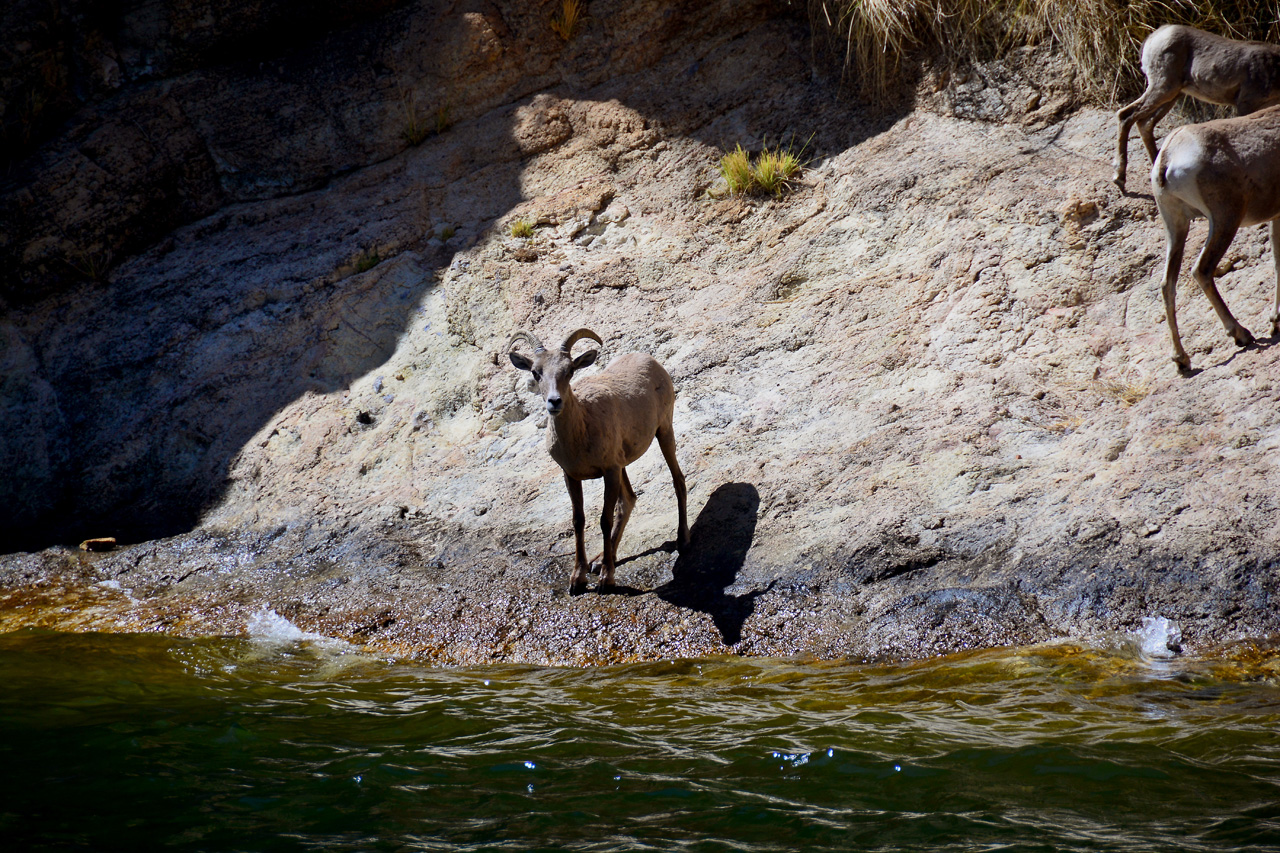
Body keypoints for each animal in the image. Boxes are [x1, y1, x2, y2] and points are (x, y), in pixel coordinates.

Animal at [509, 327, 691, 589]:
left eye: (570, 370)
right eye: (536, 372)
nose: (554, 402)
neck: (581, 428)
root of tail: (651, 360)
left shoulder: (609, 471)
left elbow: (605, 519)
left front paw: (607, 579)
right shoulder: (572, 476)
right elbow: (578, 521)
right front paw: (578, 579)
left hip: (664, 431)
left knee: (678, 481)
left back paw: (682, 540)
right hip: (626, 462)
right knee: (629, 500)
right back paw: (599, 560)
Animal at [1111, 24, 1280, 189]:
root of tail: (1153, 38)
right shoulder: (1245, 103)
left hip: (1173, 95)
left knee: (1144, 123)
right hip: (1163, 87)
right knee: (1125, 115)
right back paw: (1119, 177)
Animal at [1152, 102, 1280, 368]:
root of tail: (1168, 157)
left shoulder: (1276, 216)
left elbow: (1276, 262)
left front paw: (1276, 322)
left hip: (1176, 226)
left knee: (1168, 283)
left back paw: (1182, 360)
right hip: (1225, 220)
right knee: (1201, 270)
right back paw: (1241, 335)